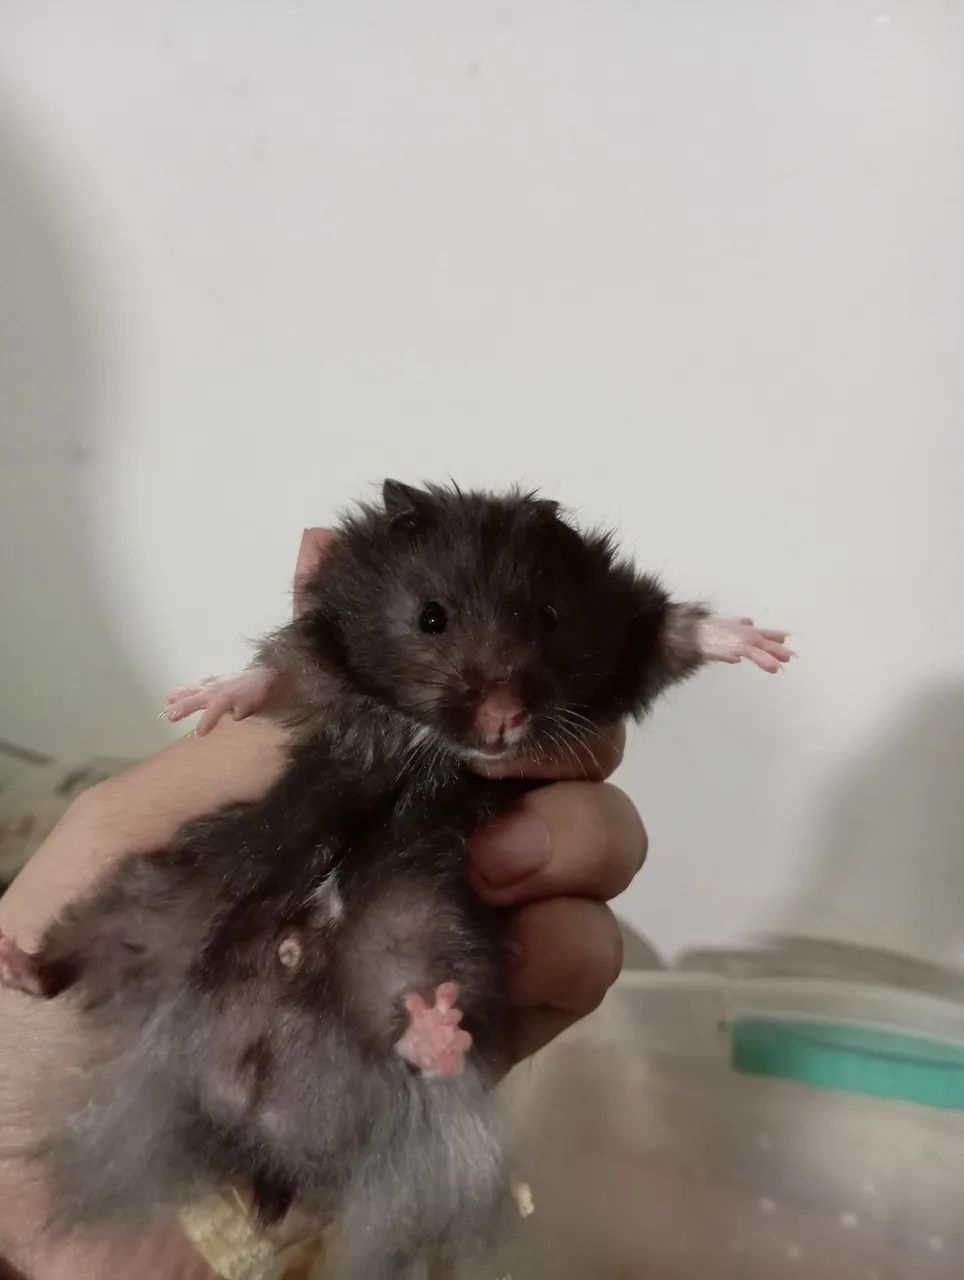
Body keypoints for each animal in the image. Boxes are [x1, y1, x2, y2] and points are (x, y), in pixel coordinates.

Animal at [0, 481, 791, 1278]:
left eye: (549, 616)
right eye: (430, 617)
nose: (503, 719)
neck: (430, 741)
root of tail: (250, 1096)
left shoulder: (621, 641)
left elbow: (673, 634)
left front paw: (766, 646)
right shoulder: (325, 666)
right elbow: (275, 676)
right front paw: (195, 704)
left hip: (420, 933)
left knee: (414, 1033)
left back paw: (435, 1030)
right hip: (167, 890)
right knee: (87, 949)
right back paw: (17, 961)